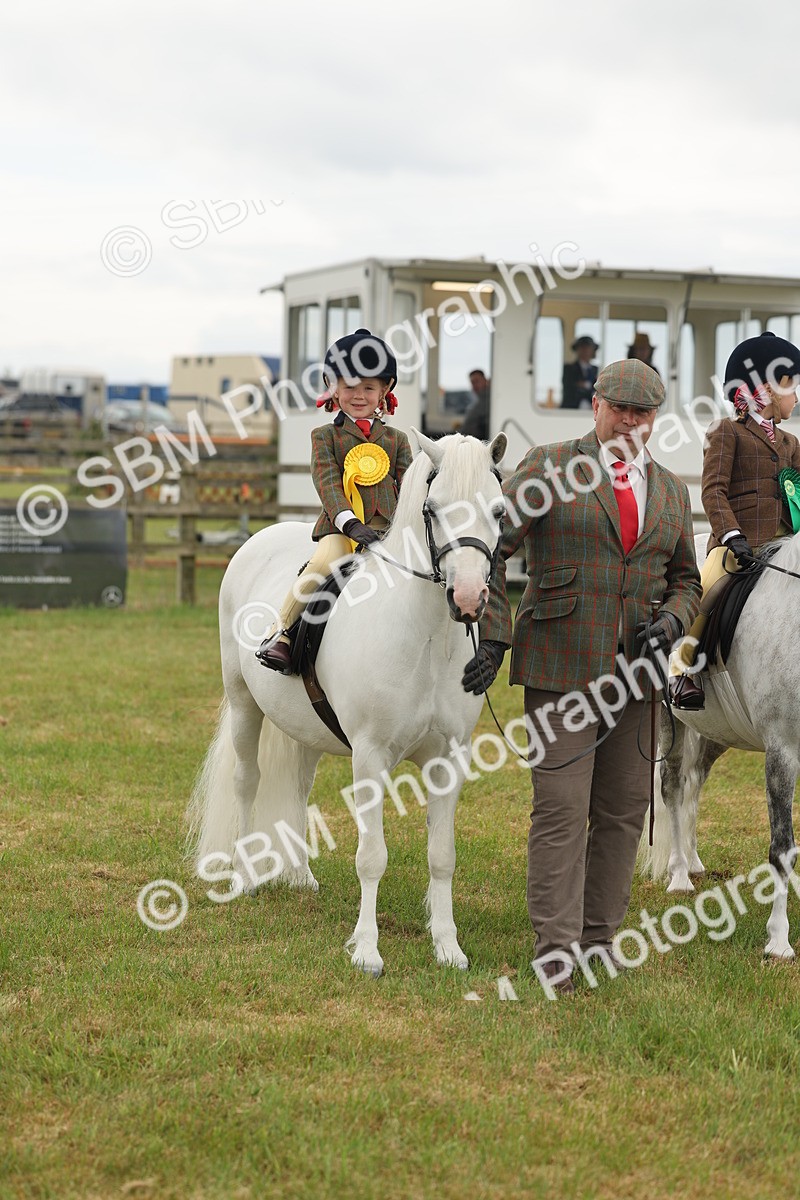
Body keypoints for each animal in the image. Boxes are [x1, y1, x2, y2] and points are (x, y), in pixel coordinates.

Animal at [188, 430, 507, 977]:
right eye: (432, 508)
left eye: (499, 510)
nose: (468, 600)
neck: (425, 637)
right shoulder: (371, 756)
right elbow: (371, 857)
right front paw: (367, 951)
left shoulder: (449, 760)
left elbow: (442, 855)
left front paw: (448, 947)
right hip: (244, 703)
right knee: (247, 782)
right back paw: (244, 876)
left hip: (306, 728)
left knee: (298, 787)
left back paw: (299, 875)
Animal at [641, 530, 800, 959]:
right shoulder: (782, 750)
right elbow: (782, 846)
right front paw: (778, 940)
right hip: (670, 718)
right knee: (673, 787)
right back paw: (680, 875)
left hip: (718, 731)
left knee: (694, 784)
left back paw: (694, 861)